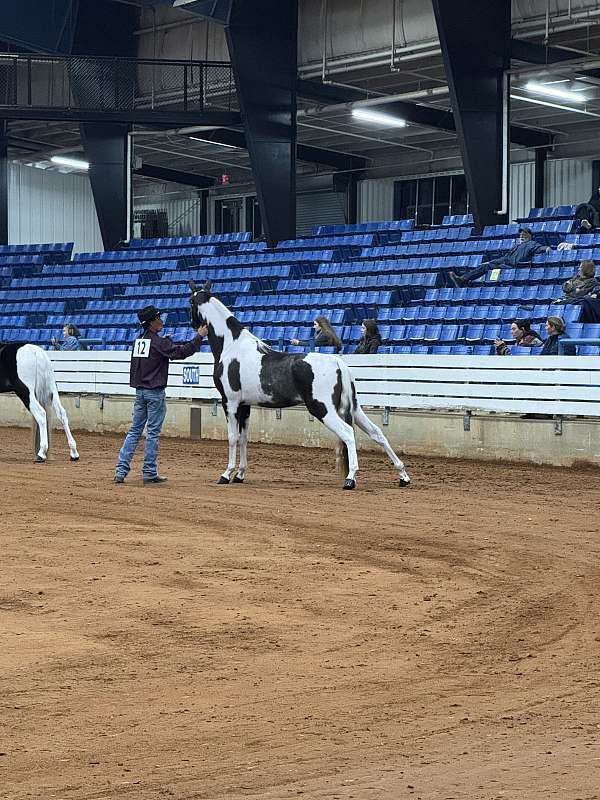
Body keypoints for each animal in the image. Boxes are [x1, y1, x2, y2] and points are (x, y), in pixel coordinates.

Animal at [190, 284, 410, 490]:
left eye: (190, 301)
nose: (193, 324)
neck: (232, 346)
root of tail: (339, 363)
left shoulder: (230, 403)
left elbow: (232, 437)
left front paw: (226, 474)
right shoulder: (245, 406)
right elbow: (244, 438)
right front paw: (240, 474)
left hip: (322, 409)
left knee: (348, 433)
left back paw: (350, 479)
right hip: (354, 409)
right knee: (377, 433)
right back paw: (403, 477)